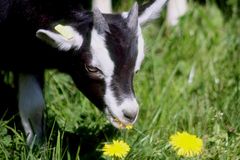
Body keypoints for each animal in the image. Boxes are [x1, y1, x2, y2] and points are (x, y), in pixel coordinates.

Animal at [0, 0, 168, 145]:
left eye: (136, 69)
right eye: (92, 68)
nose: (130, 113)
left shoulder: (30, 58)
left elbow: (33, 106)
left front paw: (37, 148)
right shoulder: (27, 58)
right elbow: (32, 106)